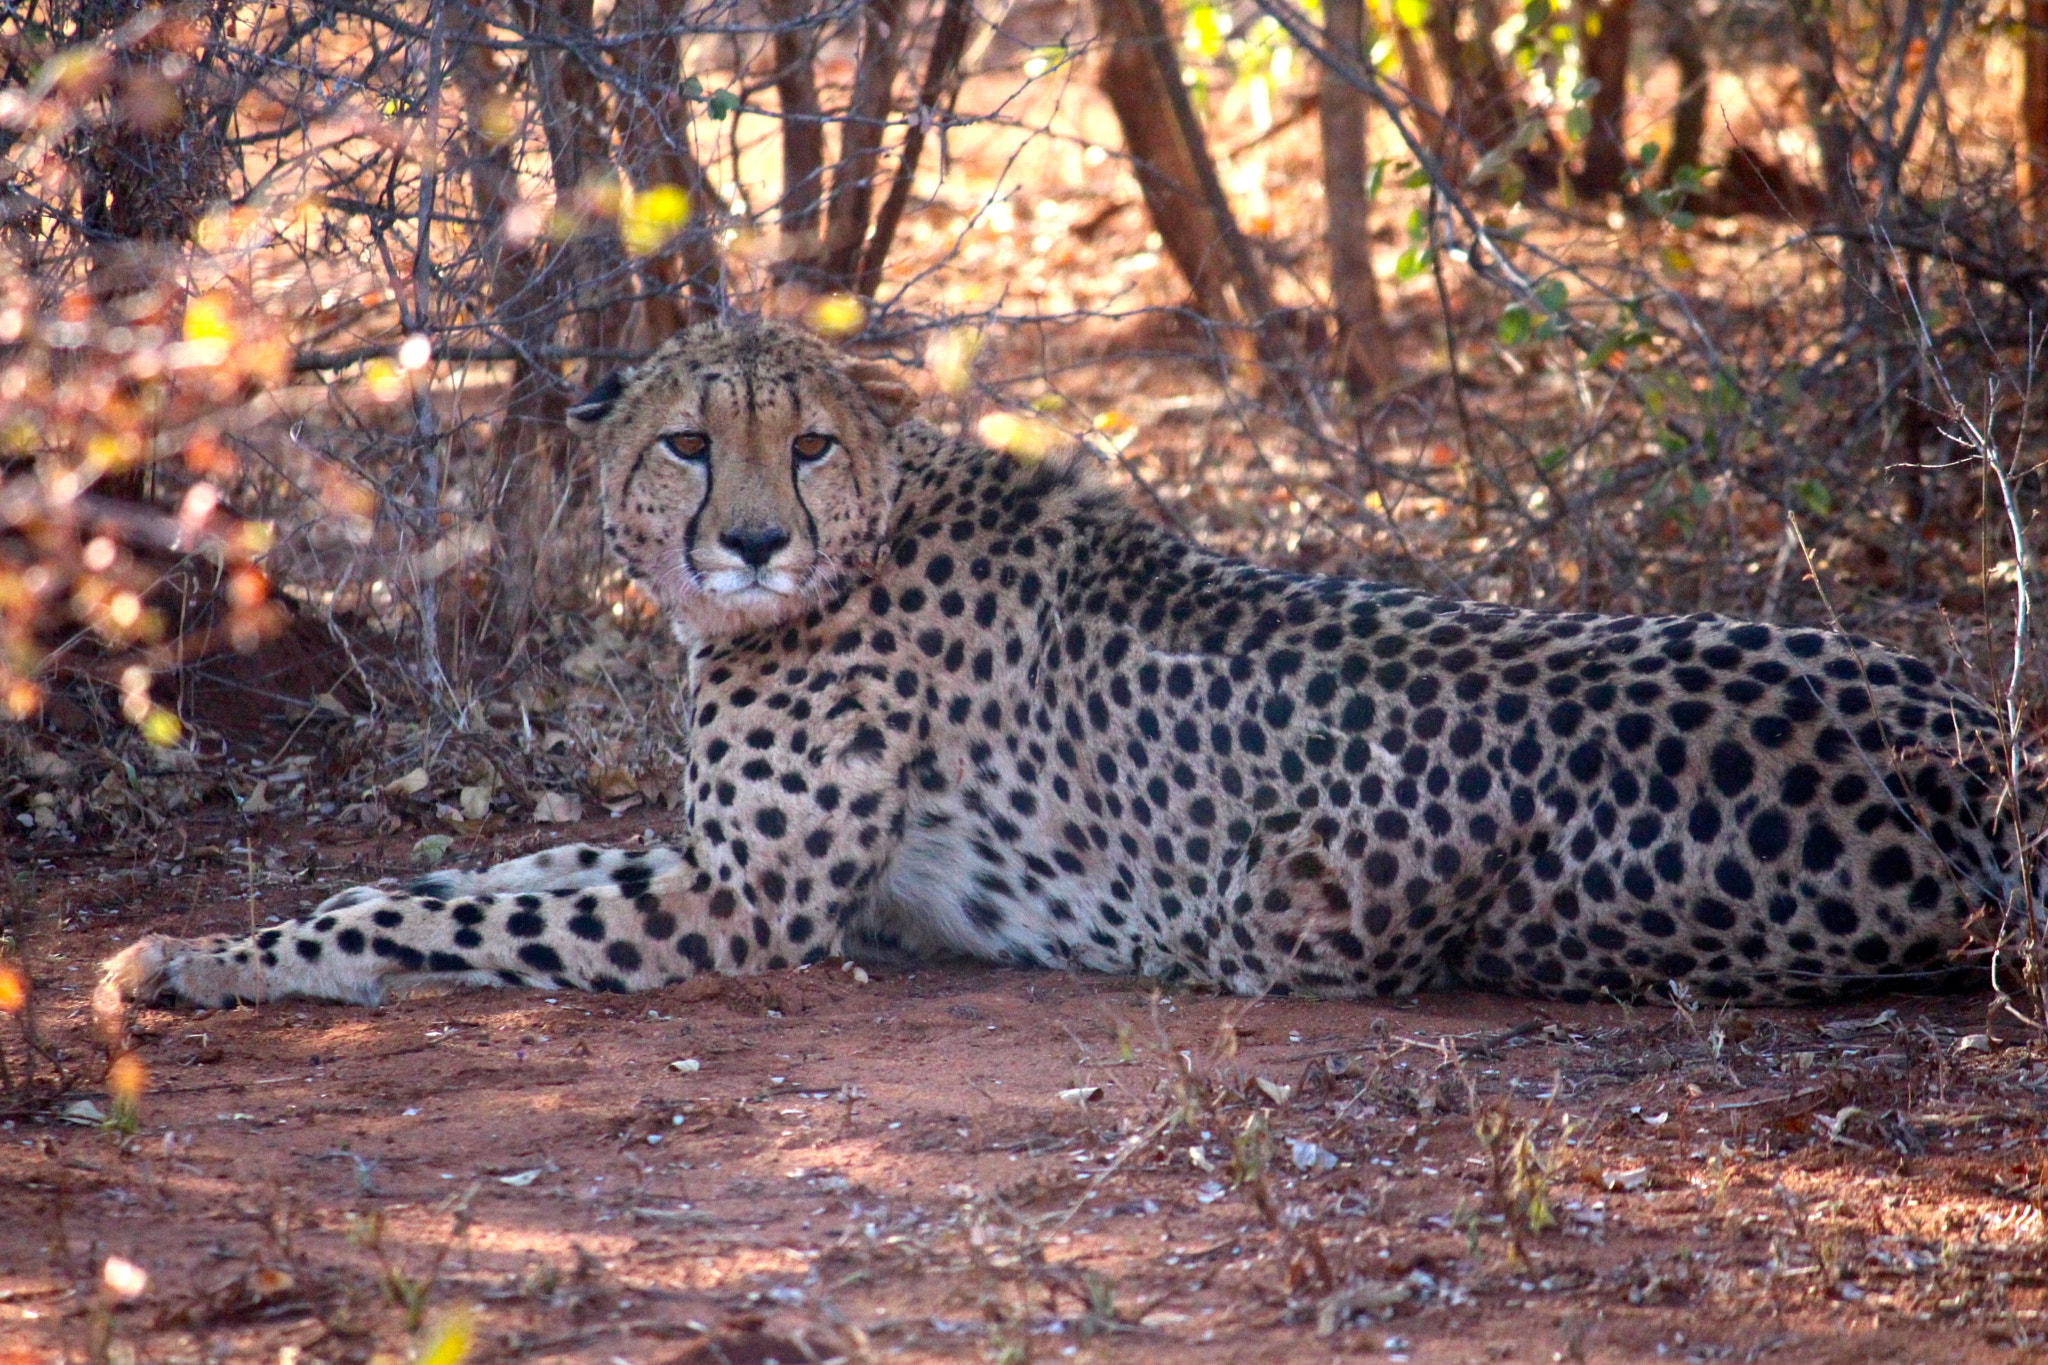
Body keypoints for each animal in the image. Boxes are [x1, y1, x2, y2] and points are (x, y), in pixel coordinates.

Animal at [101, 317, 2033, 1015]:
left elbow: (427, 909)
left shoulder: (732, 904)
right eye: (686, 445)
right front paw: (212, 944)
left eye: (807, 444)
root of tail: (1974, 764)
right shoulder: (717, 863)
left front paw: (210, 960)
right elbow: (454, 874)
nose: (749, 541)